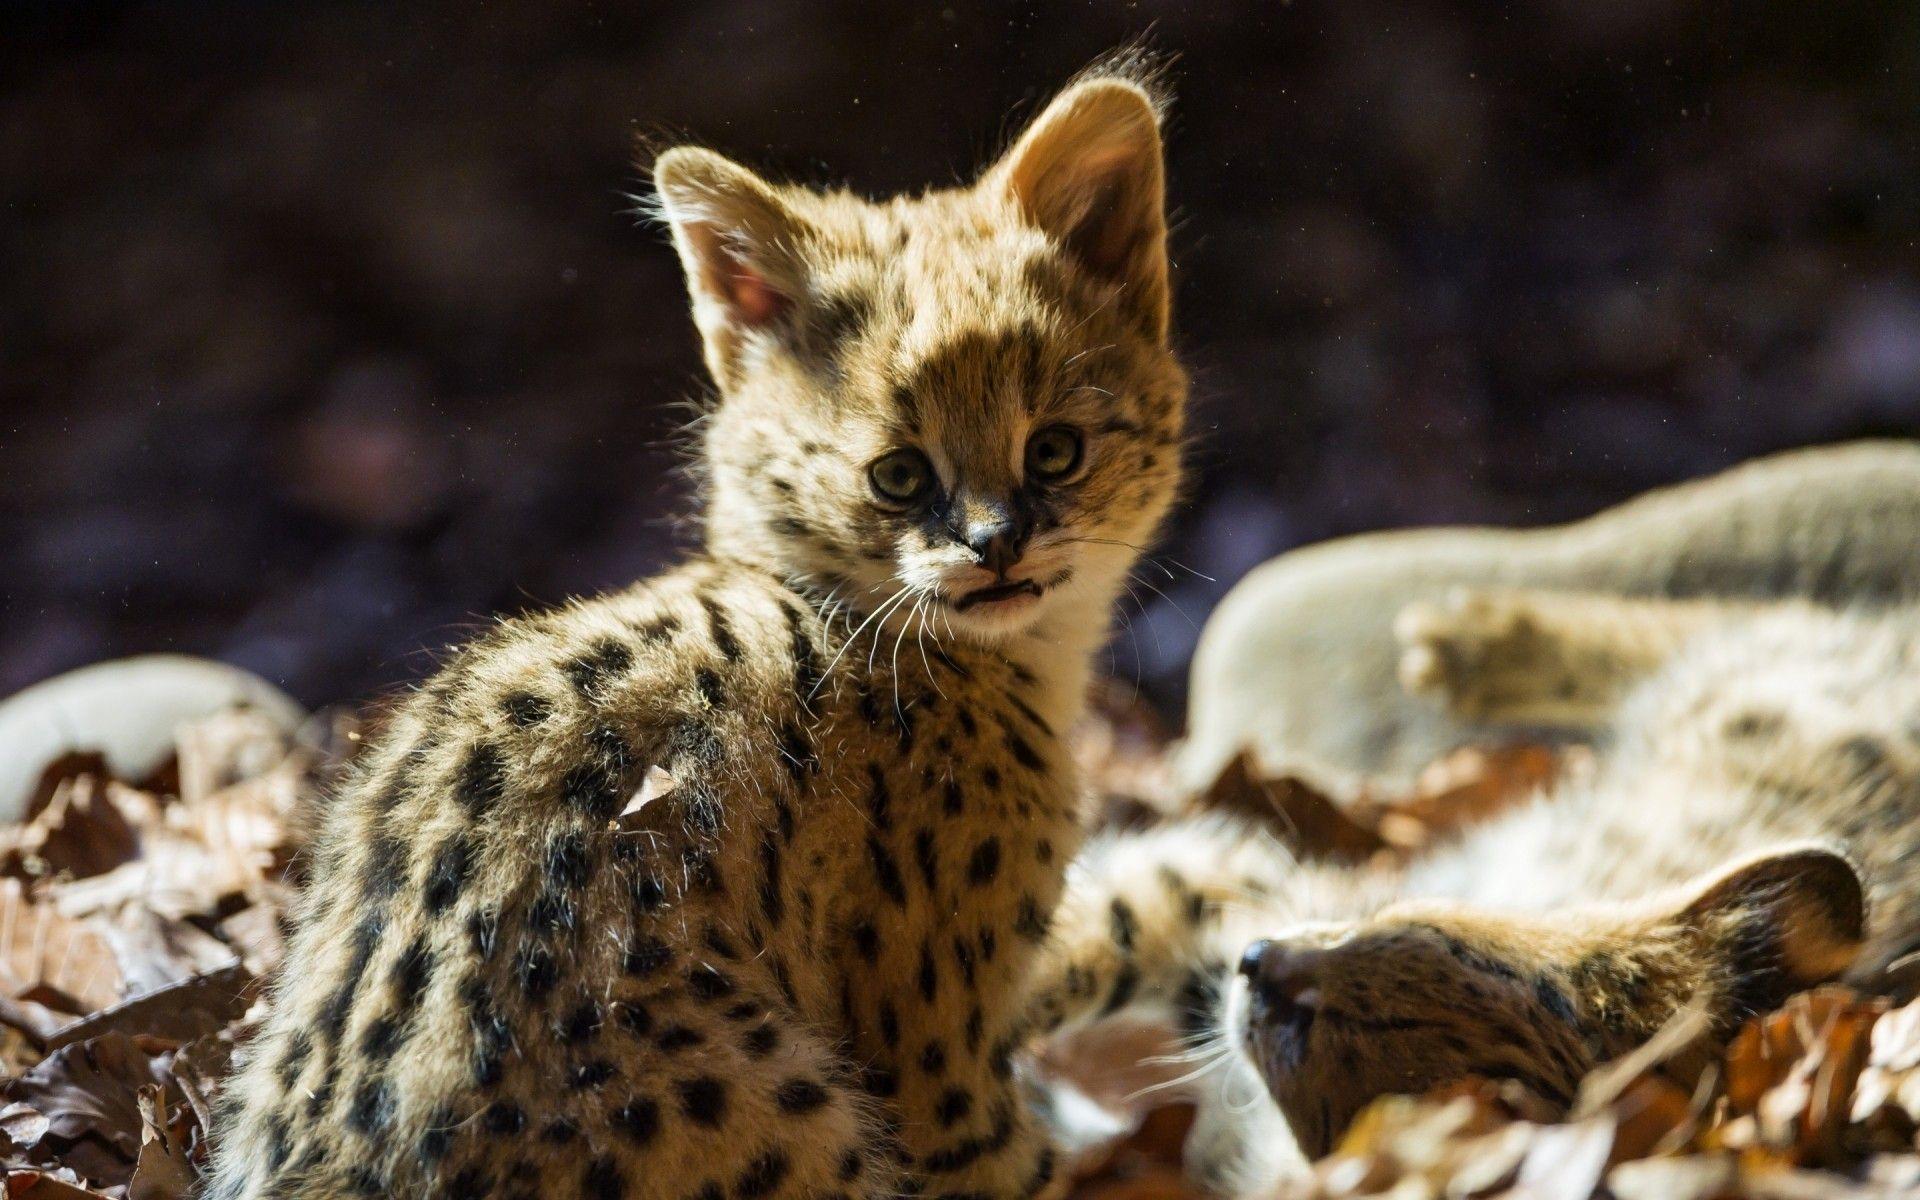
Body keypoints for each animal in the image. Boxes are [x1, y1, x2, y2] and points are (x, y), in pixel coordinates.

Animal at [1024, 587, 1920, 1194]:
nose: (1257, 962)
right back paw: (1474, 641)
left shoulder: (1252, 904)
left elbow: (1103, 918)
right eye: (1426, 931)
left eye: (1331, 1096)